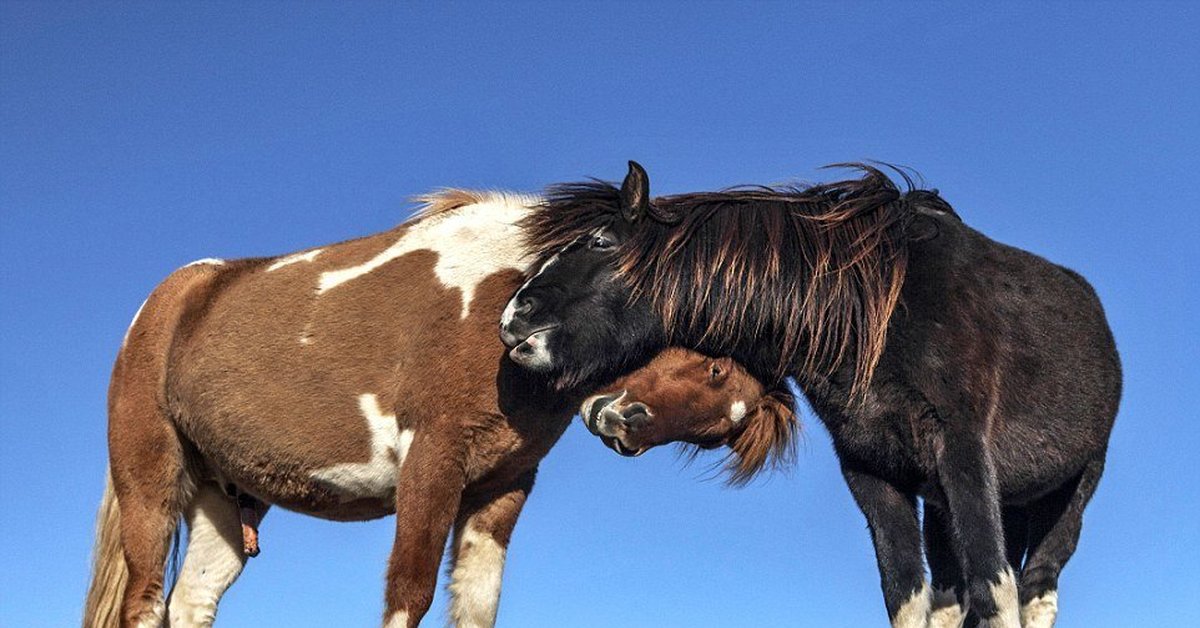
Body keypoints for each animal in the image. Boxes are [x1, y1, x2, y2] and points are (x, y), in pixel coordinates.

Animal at [82, 192, 588, 628]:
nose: (628, 419)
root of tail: (163, 302)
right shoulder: (432, 459)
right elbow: (409, 595)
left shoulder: (503, 488)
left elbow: (476, 605)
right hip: (150, 481)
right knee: (144, 602)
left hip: (221, 496)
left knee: (191, 600)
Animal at [496, 163, 1113, 628]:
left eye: (601, 241)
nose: (512, 320)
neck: (879, 312)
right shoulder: (872, 474)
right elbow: (909, 601)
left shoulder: (965, 458)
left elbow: (996, 592)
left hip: (1068, 493)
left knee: (1037, 589)